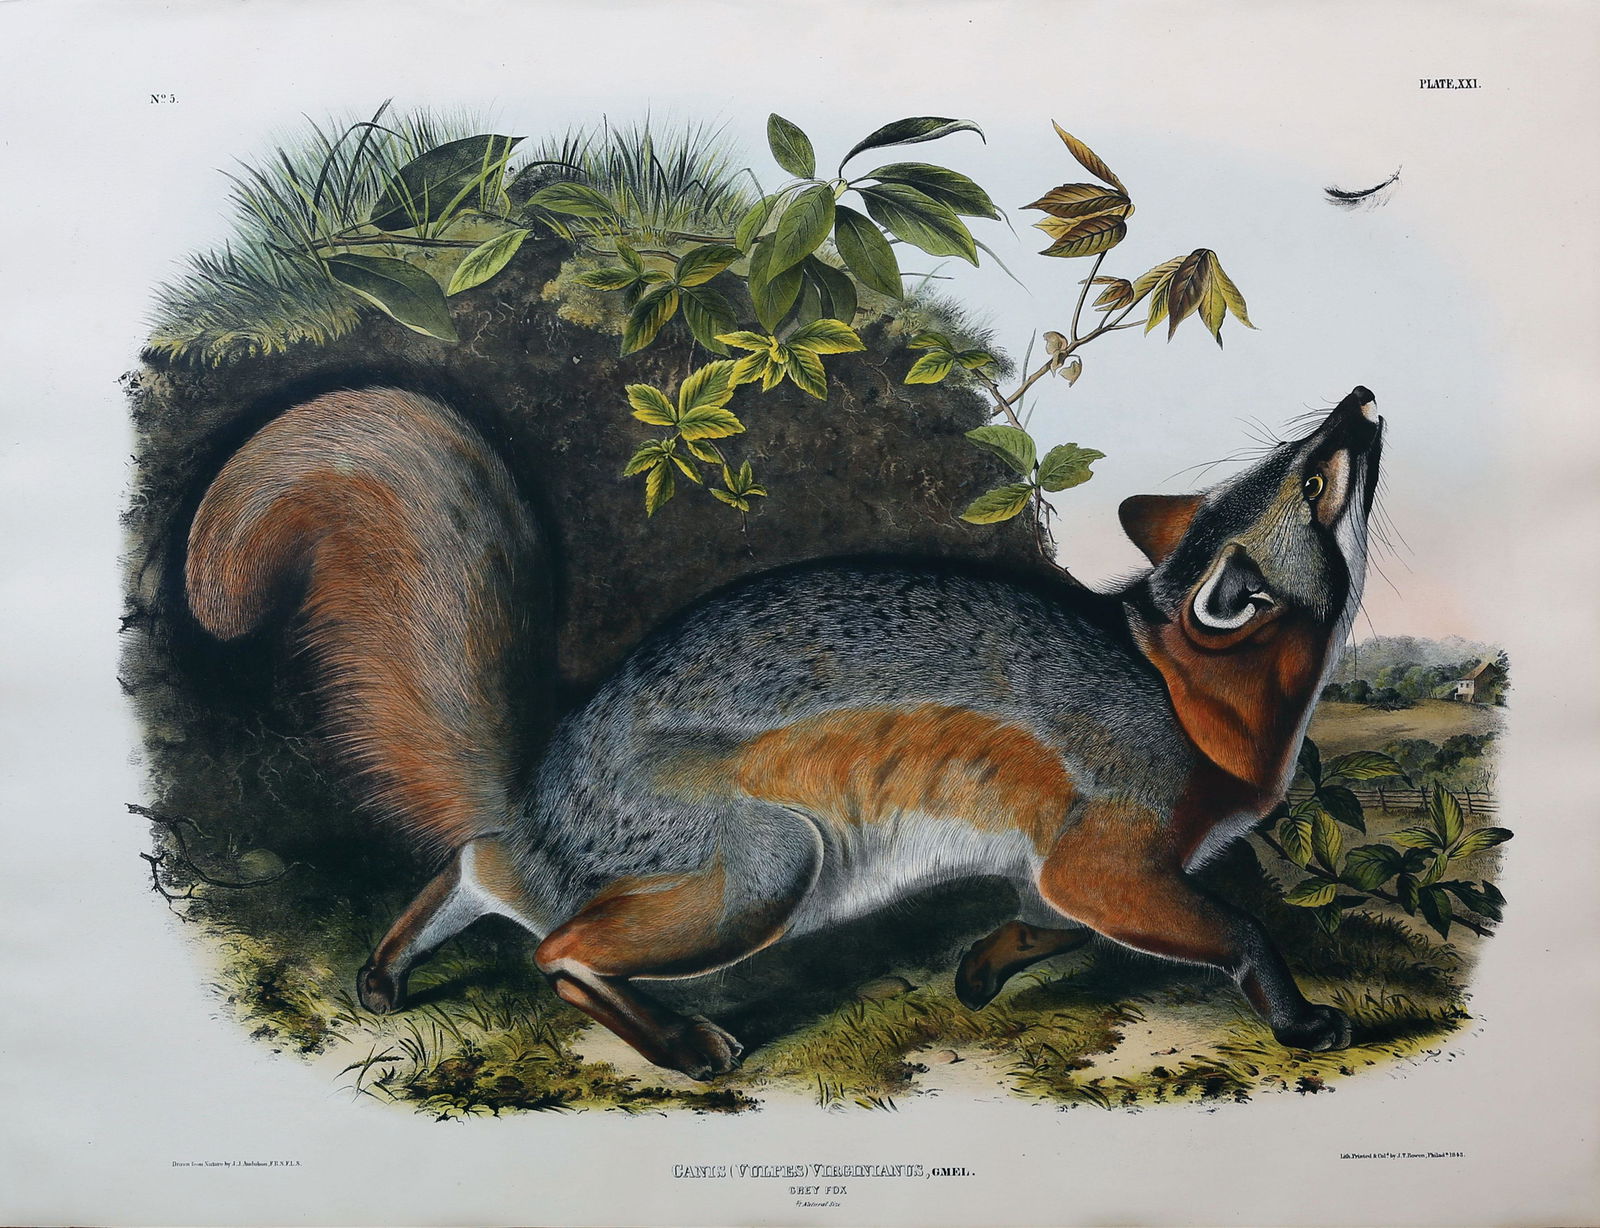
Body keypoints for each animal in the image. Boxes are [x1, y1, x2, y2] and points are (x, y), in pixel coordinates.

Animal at [185, 383, 1382, 1079]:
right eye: (1316, 477)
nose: (1361, 398)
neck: (1181, 686)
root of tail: (540, 788)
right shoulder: (1107, 855)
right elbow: (1236, 930)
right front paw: (1296, 1017)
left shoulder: (1066, 868)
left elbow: (1050, 926)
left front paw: (980, 969)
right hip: (768, 870)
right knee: (556, 949)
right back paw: (681, 1044)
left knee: (483, 868)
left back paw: (389, 968)